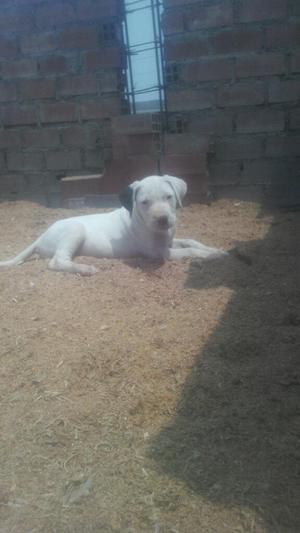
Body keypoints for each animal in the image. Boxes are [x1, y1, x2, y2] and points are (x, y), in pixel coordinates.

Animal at [0, 176, 226, 276]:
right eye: (144, 202)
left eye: (169, 197)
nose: (163, 219)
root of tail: (41, 236)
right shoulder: (159, 252)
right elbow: (190, 250)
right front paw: (212, 256)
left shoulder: (169, 241)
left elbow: (191, 241)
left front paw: (216, 250)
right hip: (75, 230)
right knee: (56, 262)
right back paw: (85, 268)